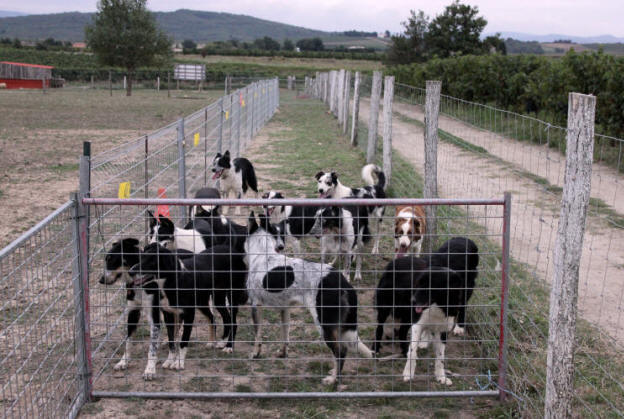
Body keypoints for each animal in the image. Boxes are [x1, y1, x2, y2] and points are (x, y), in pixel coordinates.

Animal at [243, 213, 370, 388]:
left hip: (323, 324)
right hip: (338, 326)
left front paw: (255, 354)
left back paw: (333, 380)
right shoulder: (285, 308)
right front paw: (283, 353)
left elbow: (257, 337)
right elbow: (285, 336)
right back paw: (334, 372)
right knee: (341, 351)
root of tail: (343, 282)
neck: (263, 254)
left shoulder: (255, 306)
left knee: (341, 351)